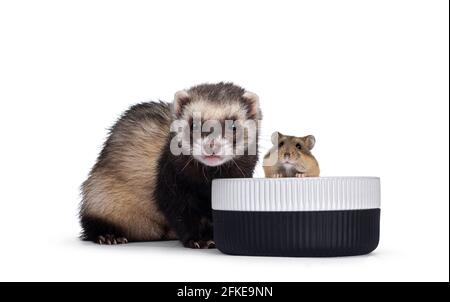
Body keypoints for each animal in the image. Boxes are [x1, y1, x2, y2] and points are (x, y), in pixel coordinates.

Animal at [80, 82, 262, 248]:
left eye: (233, 125)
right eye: (193, 124)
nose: (212, 144)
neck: (206, 182)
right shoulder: (171, 183)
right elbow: (181, 214)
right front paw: (200, 239)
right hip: (101, 198)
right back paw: (109, 236)